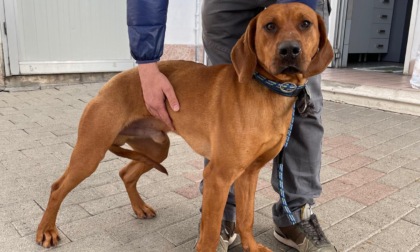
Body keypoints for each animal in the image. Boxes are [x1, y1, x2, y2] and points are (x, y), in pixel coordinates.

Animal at [36, 2, 332, 251]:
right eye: (269, 26)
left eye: (305, 23)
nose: (289, 50)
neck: (268, 92)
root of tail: (107, 85)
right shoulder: (218, 176)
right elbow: (210, 232)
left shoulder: (249, 173)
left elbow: (245, 218)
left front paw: (252, 247)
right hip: (90, 152)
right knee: (57, 187)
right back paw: (47, 230)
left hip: (157, 149)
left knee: (126, 173)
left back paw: (140, 208)